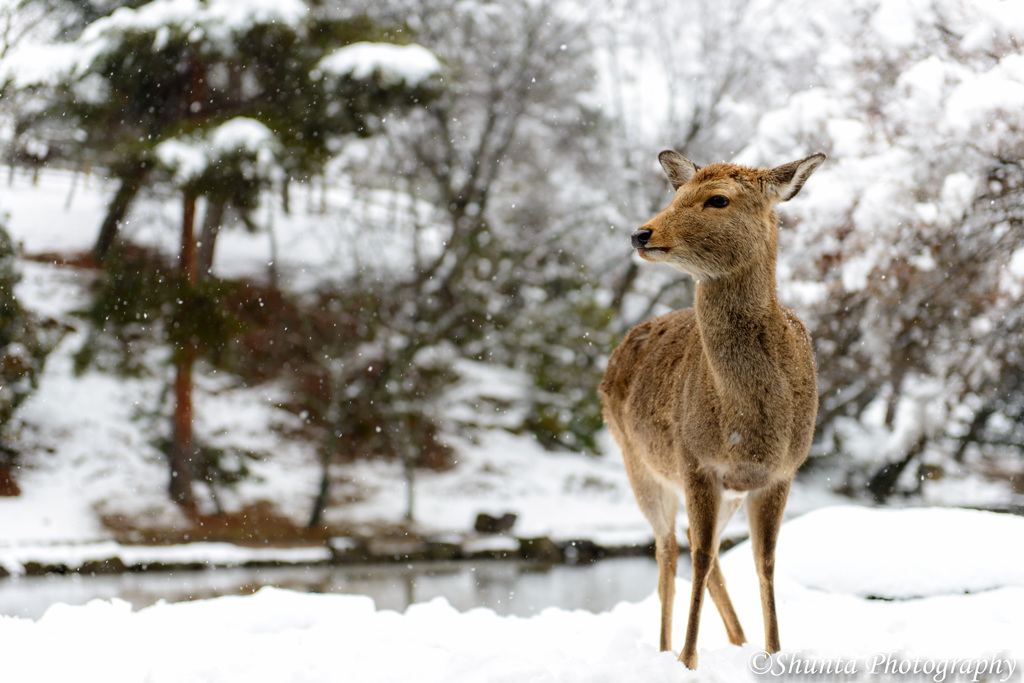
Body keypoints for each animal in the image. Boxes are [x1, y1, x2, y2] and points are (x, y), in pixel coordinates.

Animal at [598, 148, 823, 667]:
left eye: (717, 199)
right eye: (677, 192)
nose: (642, 233)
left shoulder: (781, 472)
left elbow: (765, 561)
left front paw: (774, 653)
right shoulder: (695, 459)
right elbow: (698, 558)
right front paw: (686, 660)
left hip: (723, 491)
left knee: (707, 552)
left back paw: (739, 642)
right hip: (637, 462)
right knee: (669, 551)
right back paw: (664, 650)